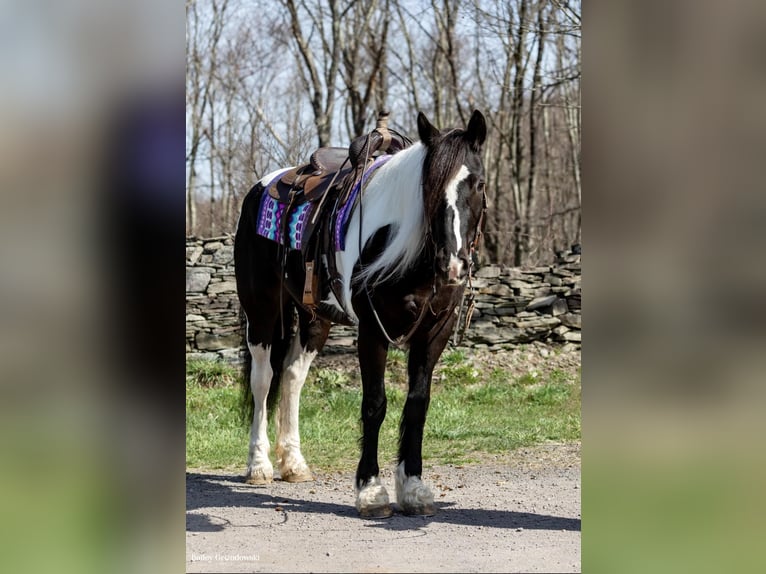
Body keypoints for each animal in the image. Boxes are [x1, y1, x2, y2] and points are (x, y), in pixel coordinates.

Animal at [234, 110, 488, 520]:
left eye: (478, 184)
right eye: (429, 188)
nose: (452, 265)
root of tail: (263, 185)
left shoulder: (435, 331)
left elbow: (417, 405)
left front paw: (413, 488)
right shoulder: (372, 330)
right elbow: (375, 404)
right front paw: (371, 491)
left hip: (314, 319)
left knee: (291, 378)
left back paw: (294, 463)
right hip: (261, 313)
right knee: (263, 380)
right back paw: (259, 466)